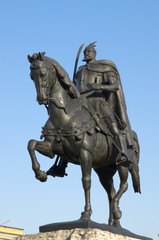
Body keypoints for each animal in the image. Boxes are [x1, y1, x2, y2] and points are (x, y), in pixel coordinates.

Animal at [27, 52, 140, 227]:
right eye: (32, 76)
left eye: (43, 74)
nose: (41, 99)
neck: (65, 114)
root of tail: (132, 136)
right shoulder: (52, 148)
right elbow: (31, 144)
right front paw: (40, 174)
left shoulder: (85, 154)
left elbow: (86, 182)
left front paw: (86, 214)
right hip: (104, 170)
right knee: (111, 192)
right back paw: (113, 222)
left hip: (123, 164)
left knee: (124, 185)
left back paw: (117, 212)